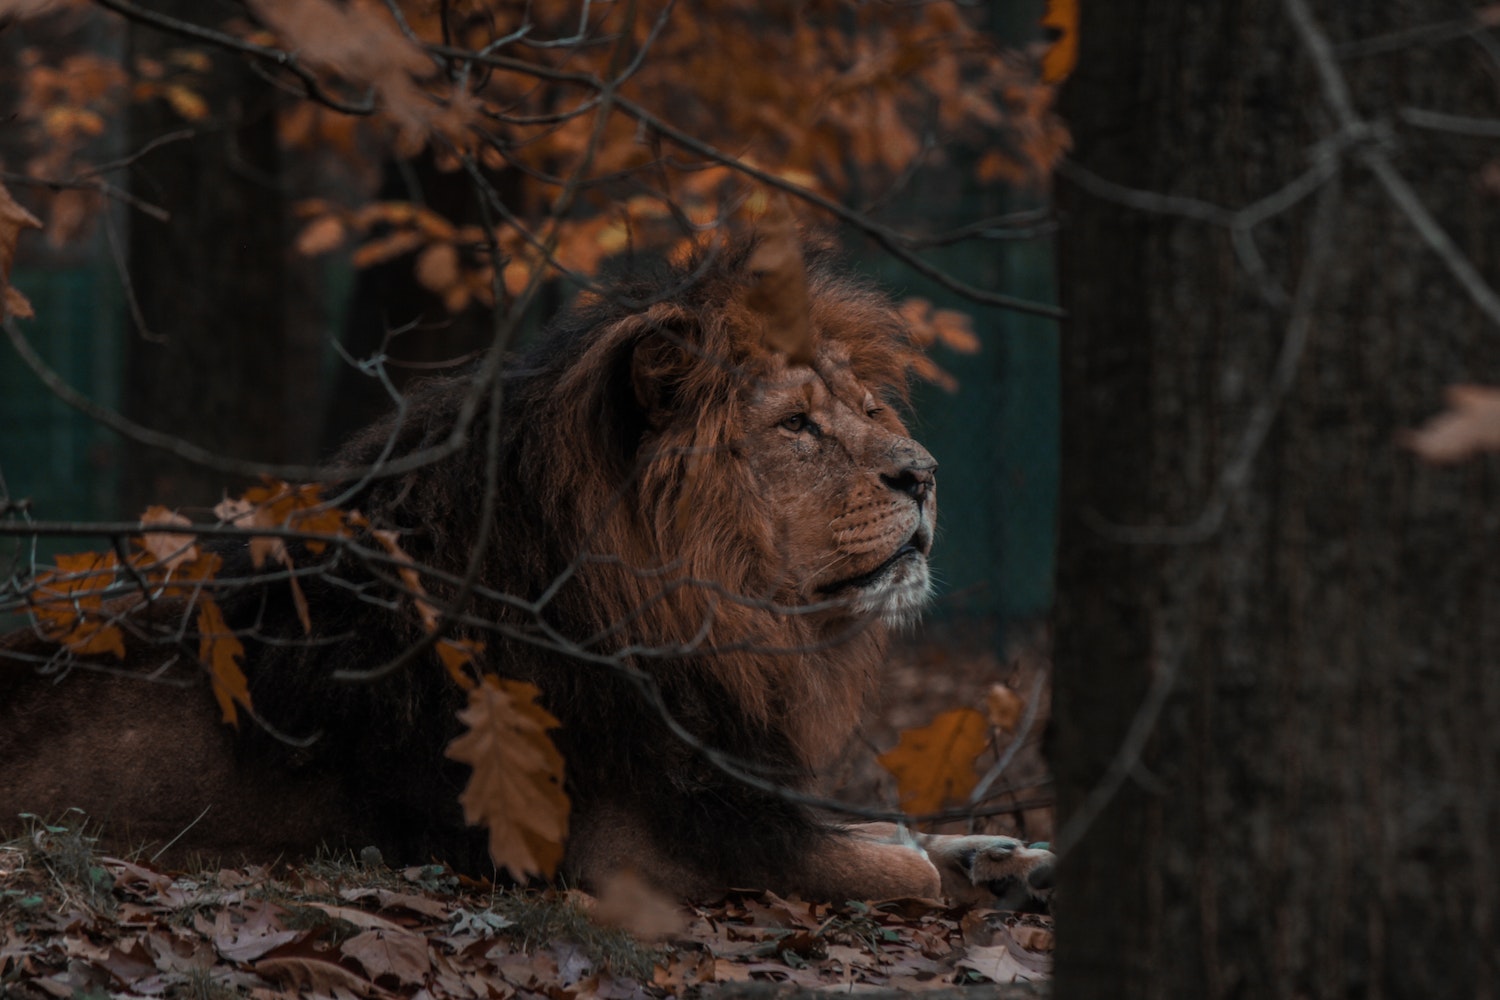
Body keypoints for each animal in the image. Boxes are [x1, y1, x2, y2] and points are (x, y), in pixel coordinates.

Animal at [0, 237, 1053, 907]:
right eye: (796, 425)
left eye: (869, 411)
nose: (925, 473)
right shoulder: (633, 850)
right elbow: (892, 863)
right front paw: (946, 864)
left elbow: (890, 832)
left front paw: (1009, 856)